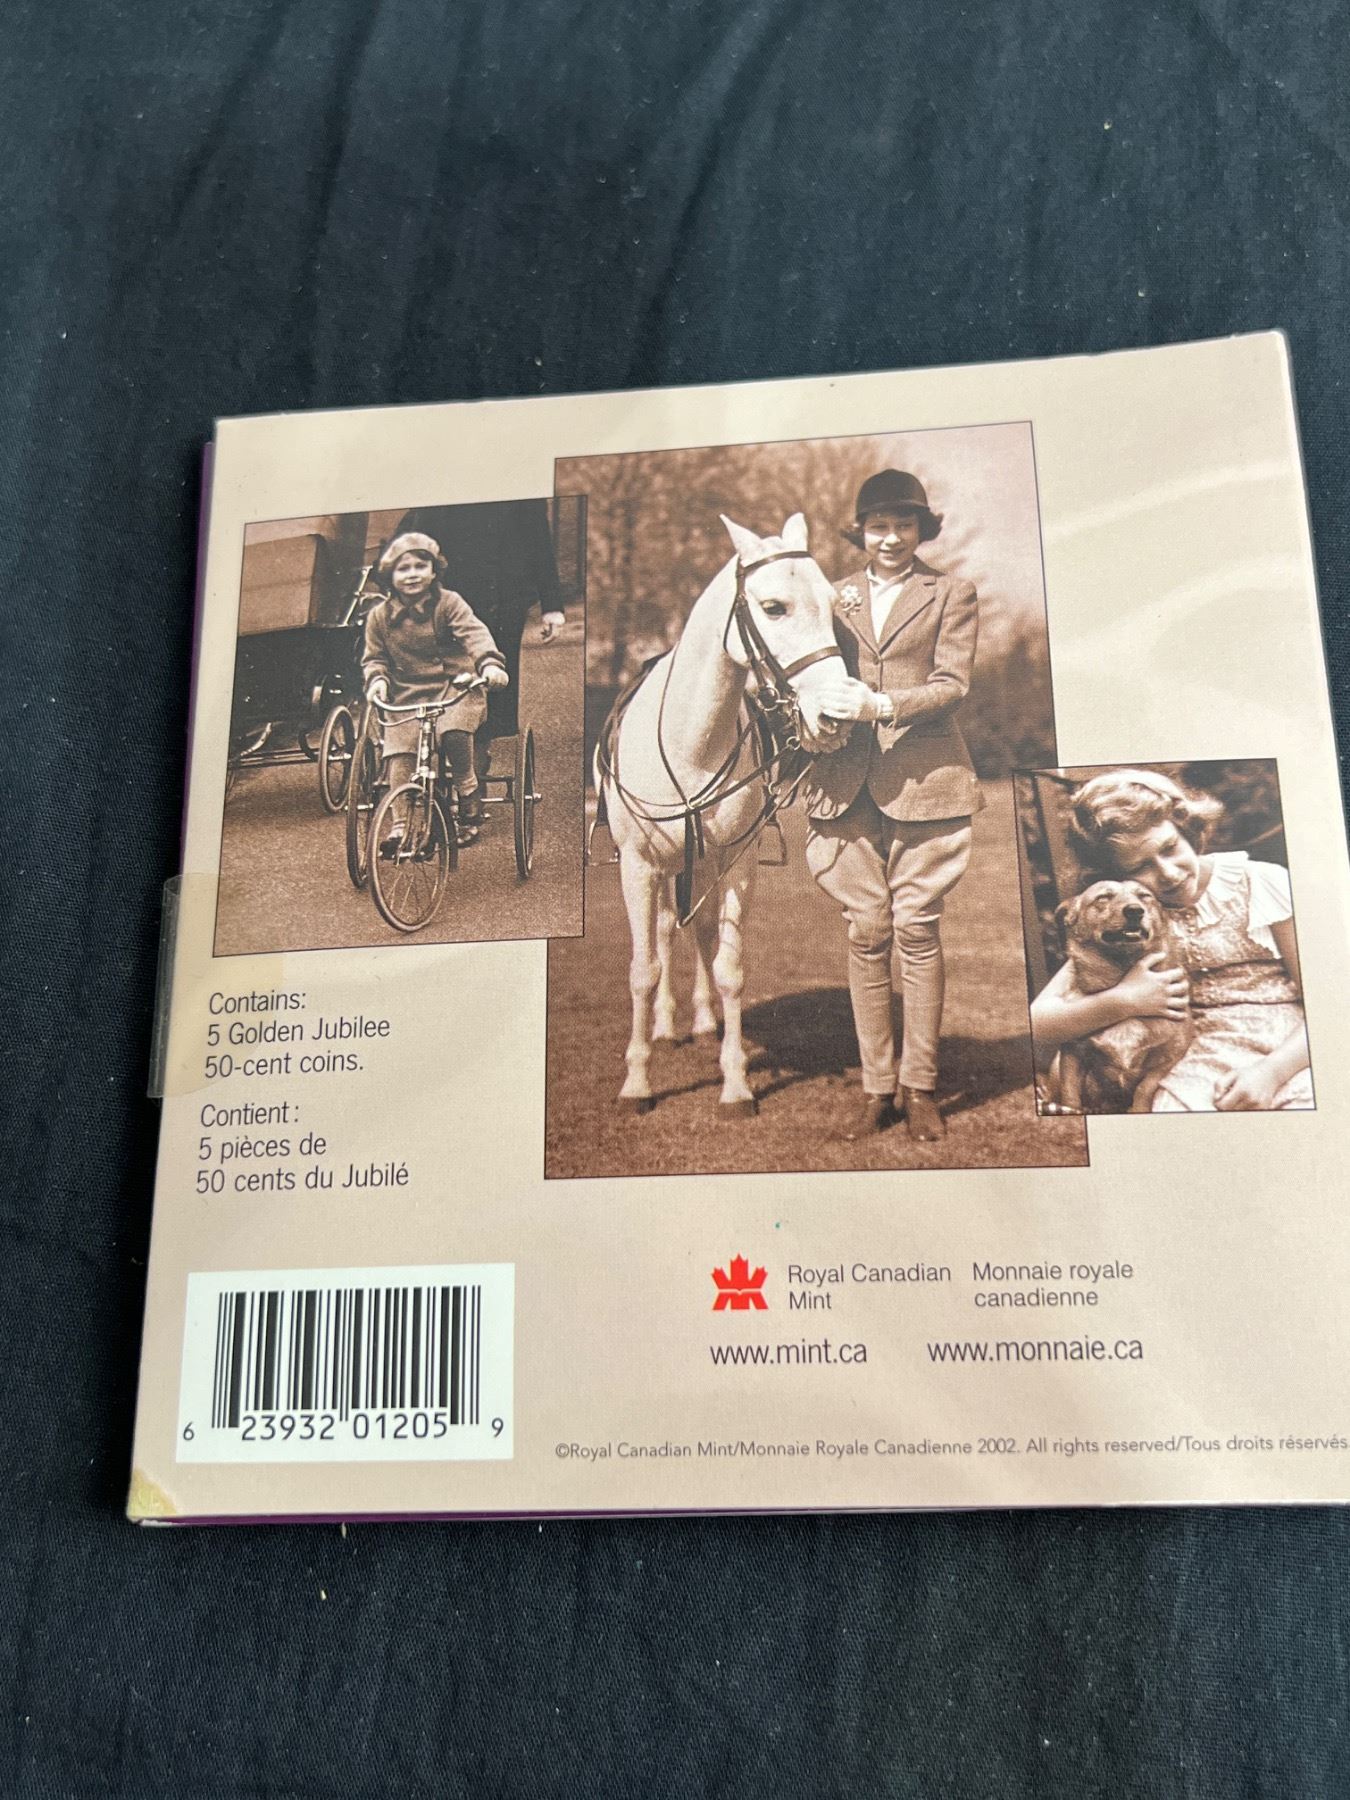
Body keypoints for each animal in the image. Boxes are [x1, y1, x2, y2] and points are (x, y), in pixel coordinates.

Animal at [600, 513, 847, 1114]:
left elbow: (729, 967)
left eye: (833, 603)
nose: (833, 715)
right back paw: (666, 1026)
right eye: (774, 606)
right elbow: (643, 968)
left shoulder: (735, 864)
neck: (690, 743)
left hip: (703, 867)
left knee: (701, 932)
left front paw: (735, 1084)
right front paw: (636, 1082)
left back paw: (701, 1021)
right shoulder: (638, 866)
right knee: (667, 932)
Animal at [1045, 880, 1194, 1115]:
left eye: (1144, 896)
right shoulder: (1071, 1055)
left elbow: (1145, 1086)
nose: (1135, 910)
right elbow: (1071, 1096)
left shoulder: (1172, 1054)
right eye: (1103, 898)